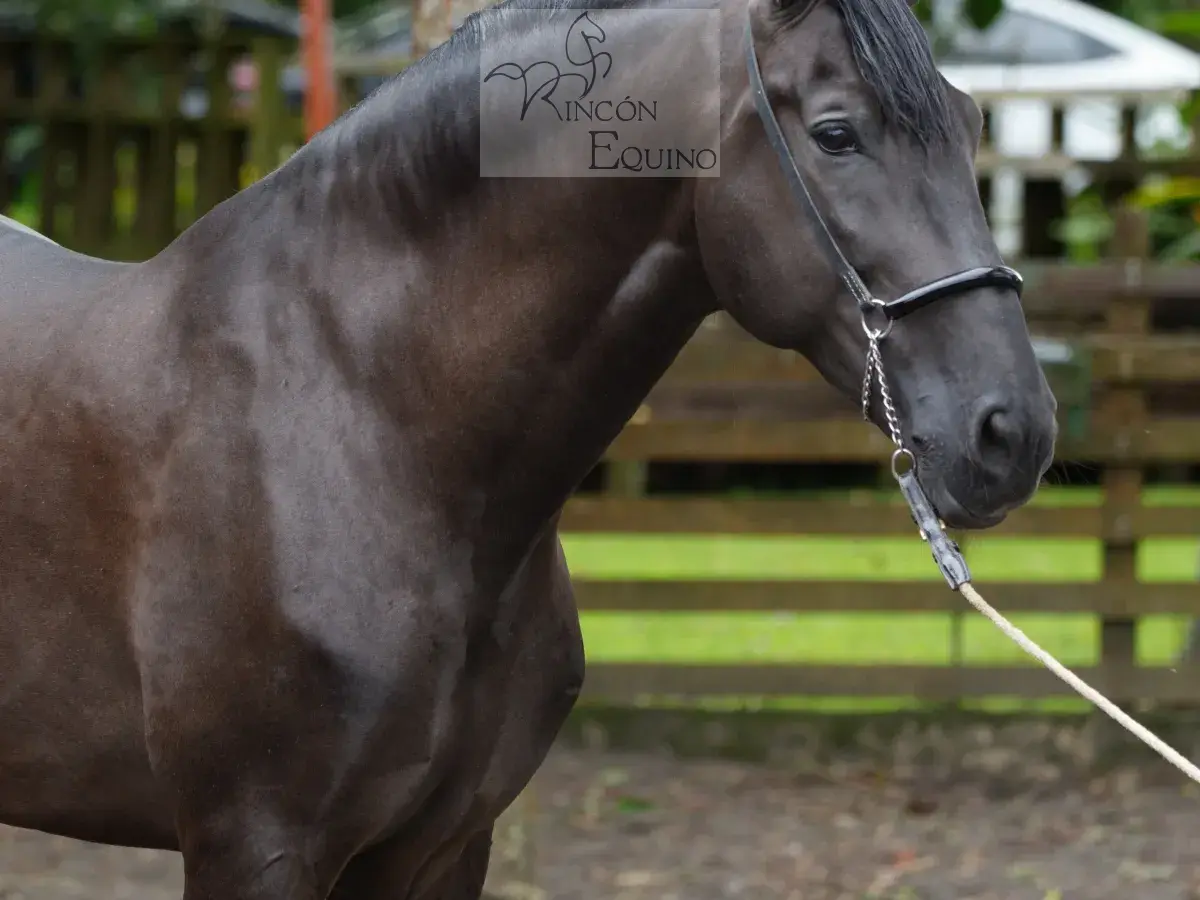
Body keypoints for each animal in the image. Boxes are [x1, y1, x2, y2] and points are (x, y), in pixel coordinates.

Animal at [0, 0, 1057, 896]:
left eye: (972, 126)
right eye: (838, 134)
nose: (1014, 432)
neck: (359, 412)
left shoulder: (442, 847)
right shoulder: (256, 845)